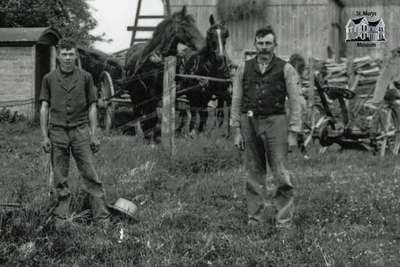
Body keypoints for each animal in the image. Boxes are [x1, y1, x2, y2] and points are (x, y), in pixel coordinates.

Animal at [125, 6, 206, 143]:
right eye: (185, 25)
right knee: (137, 112)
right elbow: (153, 116)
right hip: (134, 93)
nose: (203, 46)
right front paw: (151, 140)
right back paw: (139, 134)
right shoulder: (151, 94)